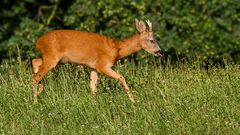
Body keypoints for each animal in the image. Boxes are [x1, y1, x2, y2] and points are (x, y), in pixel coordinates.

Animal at [31, 19, 162, 103]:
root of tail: (38, 42)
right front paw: (133, 101)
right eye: (152, 40)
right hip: (52, 56)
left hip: (54, 58)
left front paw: (94, 104)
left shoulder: (93, 68)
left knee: (35, 61)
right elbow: (121, 77)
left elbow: (93, 88)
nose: (160, 52)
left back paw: (39, 90)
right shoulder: (103, 65)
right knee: (35, 77)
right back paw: (35, 102)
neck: (117, 49)